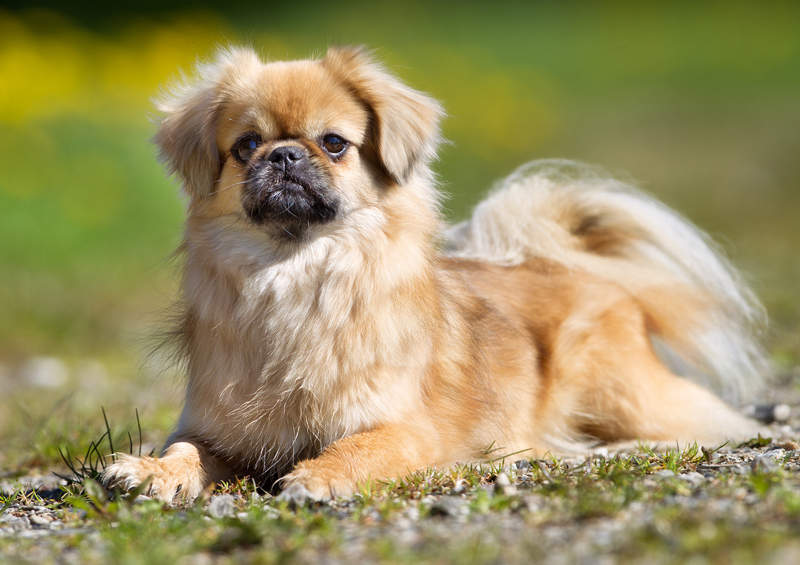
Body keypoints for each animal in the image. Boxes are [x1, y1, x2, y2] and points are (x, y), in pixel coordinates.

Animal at [101, 45, 768, 502]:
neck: (295, 276)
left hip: (619, 393)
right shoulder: (215, 429)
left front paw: (318, 477)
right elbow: (186, 450)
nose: (284, 155)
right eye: (246, 146)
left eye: (333, 143)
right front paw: (147, 471)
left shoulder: (402, 427)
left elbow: (357, 445)